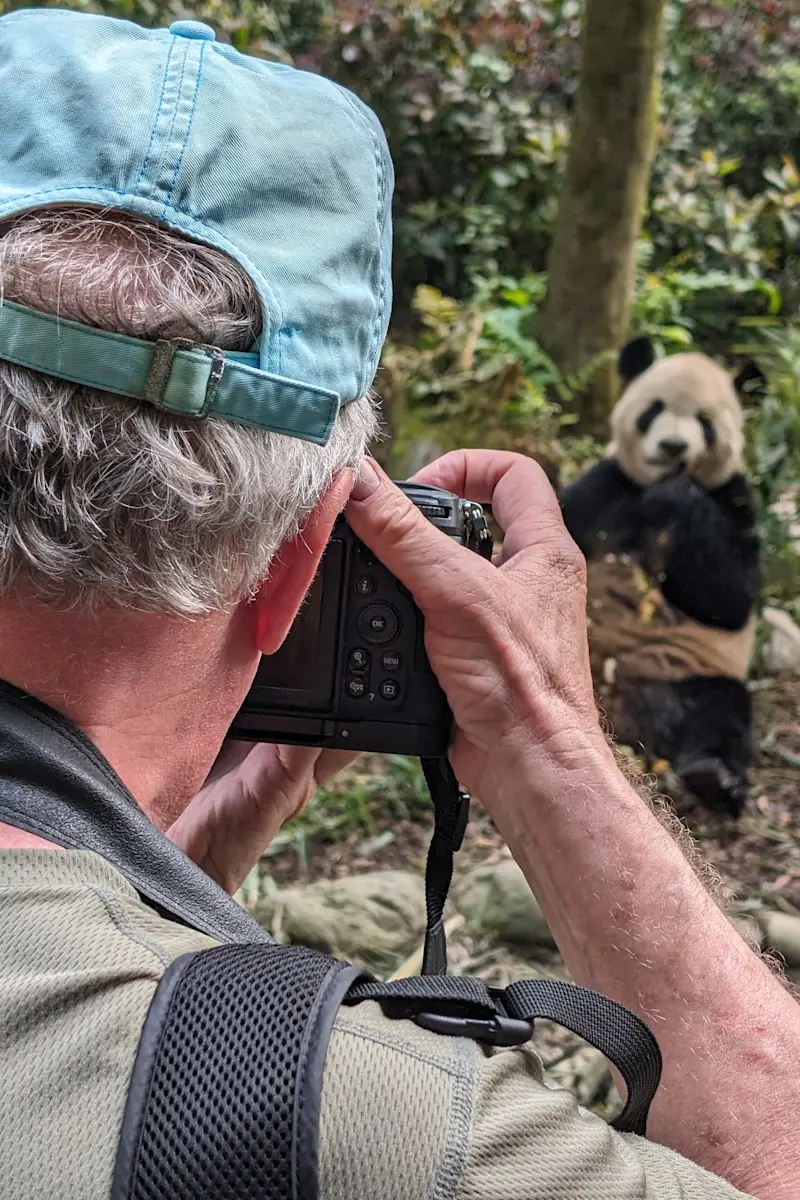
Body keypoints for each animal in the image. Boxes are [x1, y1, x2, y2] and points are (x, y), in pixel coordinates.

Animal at [559, 336, 762, 818]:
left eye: (705, 422)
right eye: (654, 409)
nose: (672, 447)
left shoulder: (732, 497)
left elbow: (732, 597)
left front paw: (674, 494)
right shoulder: (607, 482)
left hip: (686, 674)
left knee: (722, 713)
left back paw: (715, 779)